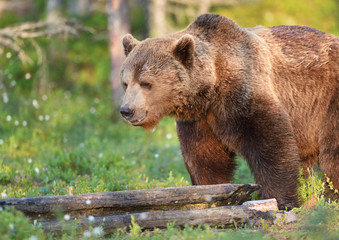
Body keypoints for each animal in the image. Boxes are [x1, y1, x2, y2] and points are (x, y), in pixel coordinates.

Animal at [119, 13, 338, 209]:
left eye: (146, 83)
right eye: (125, 83)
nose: (126, 110)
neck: (211, 89)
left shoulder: (244, 93)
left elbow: (271, 145)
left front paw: (281, 200)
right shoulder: (200, 120)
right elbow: (205, 157)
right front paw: (208, 194)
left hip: (328, 102)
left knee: (332, 154)